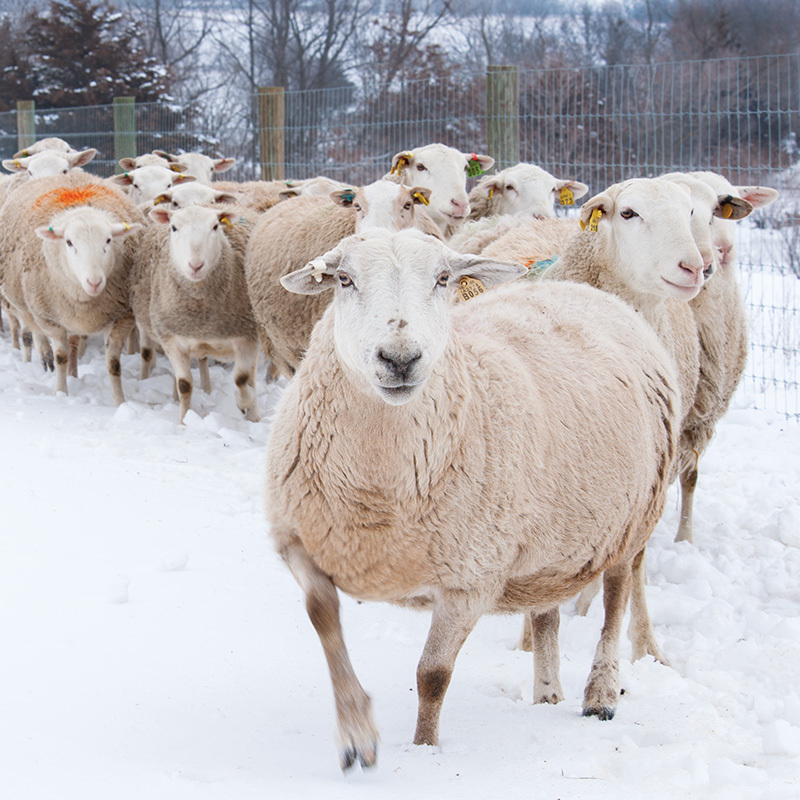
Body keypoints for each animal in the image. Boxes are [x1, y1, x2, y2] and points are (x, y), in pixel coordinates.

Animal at [0, 173, 144, 404]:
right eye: (69, 242)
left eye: (108, 240)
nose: (94, 282)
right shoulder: (49, 317)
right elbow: (60, 356)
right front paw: (60, 393)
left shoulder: (122, 316)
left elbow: (113, 364)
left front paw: (120, 402)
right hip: (26, 304)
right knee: (32, 331)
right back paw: (45, 356)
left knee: (74, 342)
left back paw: (73, 373)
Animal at [127, 203, 260, 422]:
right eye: (173, 227)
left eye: (215, 226)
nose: (196, 266)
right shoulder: (172, 339)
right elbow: (185, 385)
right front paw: (184, 421)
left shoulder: (246, 336)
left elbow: (241, 379)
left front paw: (244, 403)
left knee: (251, 375)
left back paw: (253, 415)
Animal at [266, 225, 680, 768]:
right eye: (344, 279)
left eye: (443, 278)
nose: (400, 359)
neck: (377, 492)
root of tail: (584, 291)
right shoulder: (301, 542)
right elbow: (324, 623)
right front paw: (357, 736)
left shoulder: (470, 578)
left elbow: (432, 675)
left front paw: (425, 752)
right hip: (548, 541)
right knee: (547, 612)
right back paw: (546, 694)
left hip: (631, 520)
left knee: (615, 601)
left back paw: (601, 695)